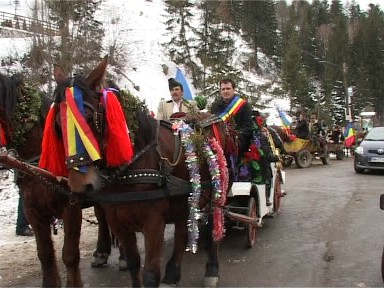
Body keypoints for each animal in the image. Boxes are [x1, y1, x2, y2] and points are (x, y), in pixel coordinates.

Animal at [0, 73, 122, 286]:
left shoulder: (70, 207)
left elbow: (70, 254)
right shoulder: (33, 211)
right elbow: (45, 254)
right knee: (101, 215)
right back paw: (101, 252)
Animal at [41, 57, 228, 286]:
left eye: (89, 117)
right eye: (57, 125)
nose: (79, 185)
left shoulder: (153, 222)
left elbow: (150, 274)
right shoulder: (118, 222)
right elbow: (132, 264)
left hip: (216, 191)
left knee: (214, 229)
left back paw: (212, 269)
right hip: (185, 199)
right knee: (183, 230)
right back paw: (173, 272)